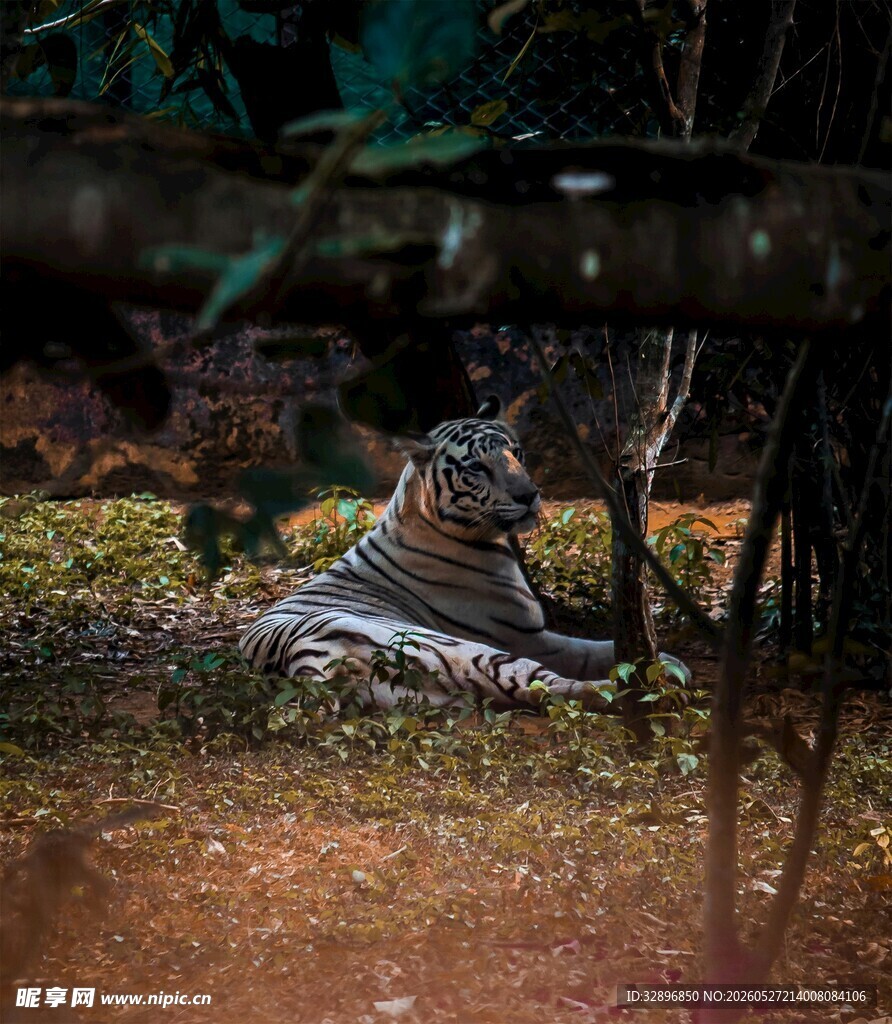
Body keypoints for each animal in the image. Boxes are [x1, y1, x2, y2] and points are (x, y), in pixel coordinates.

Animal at [239, 398, 688, 711]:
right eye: (476, 467)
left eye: (516, 453)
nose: (529, 496)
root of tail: (298, 662)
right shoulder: (526, 636)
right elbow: (589, 650)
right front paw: (666, 662)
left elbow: (595, 648)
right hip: (463, 651)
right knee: (544, 685)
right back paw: (649, 693)